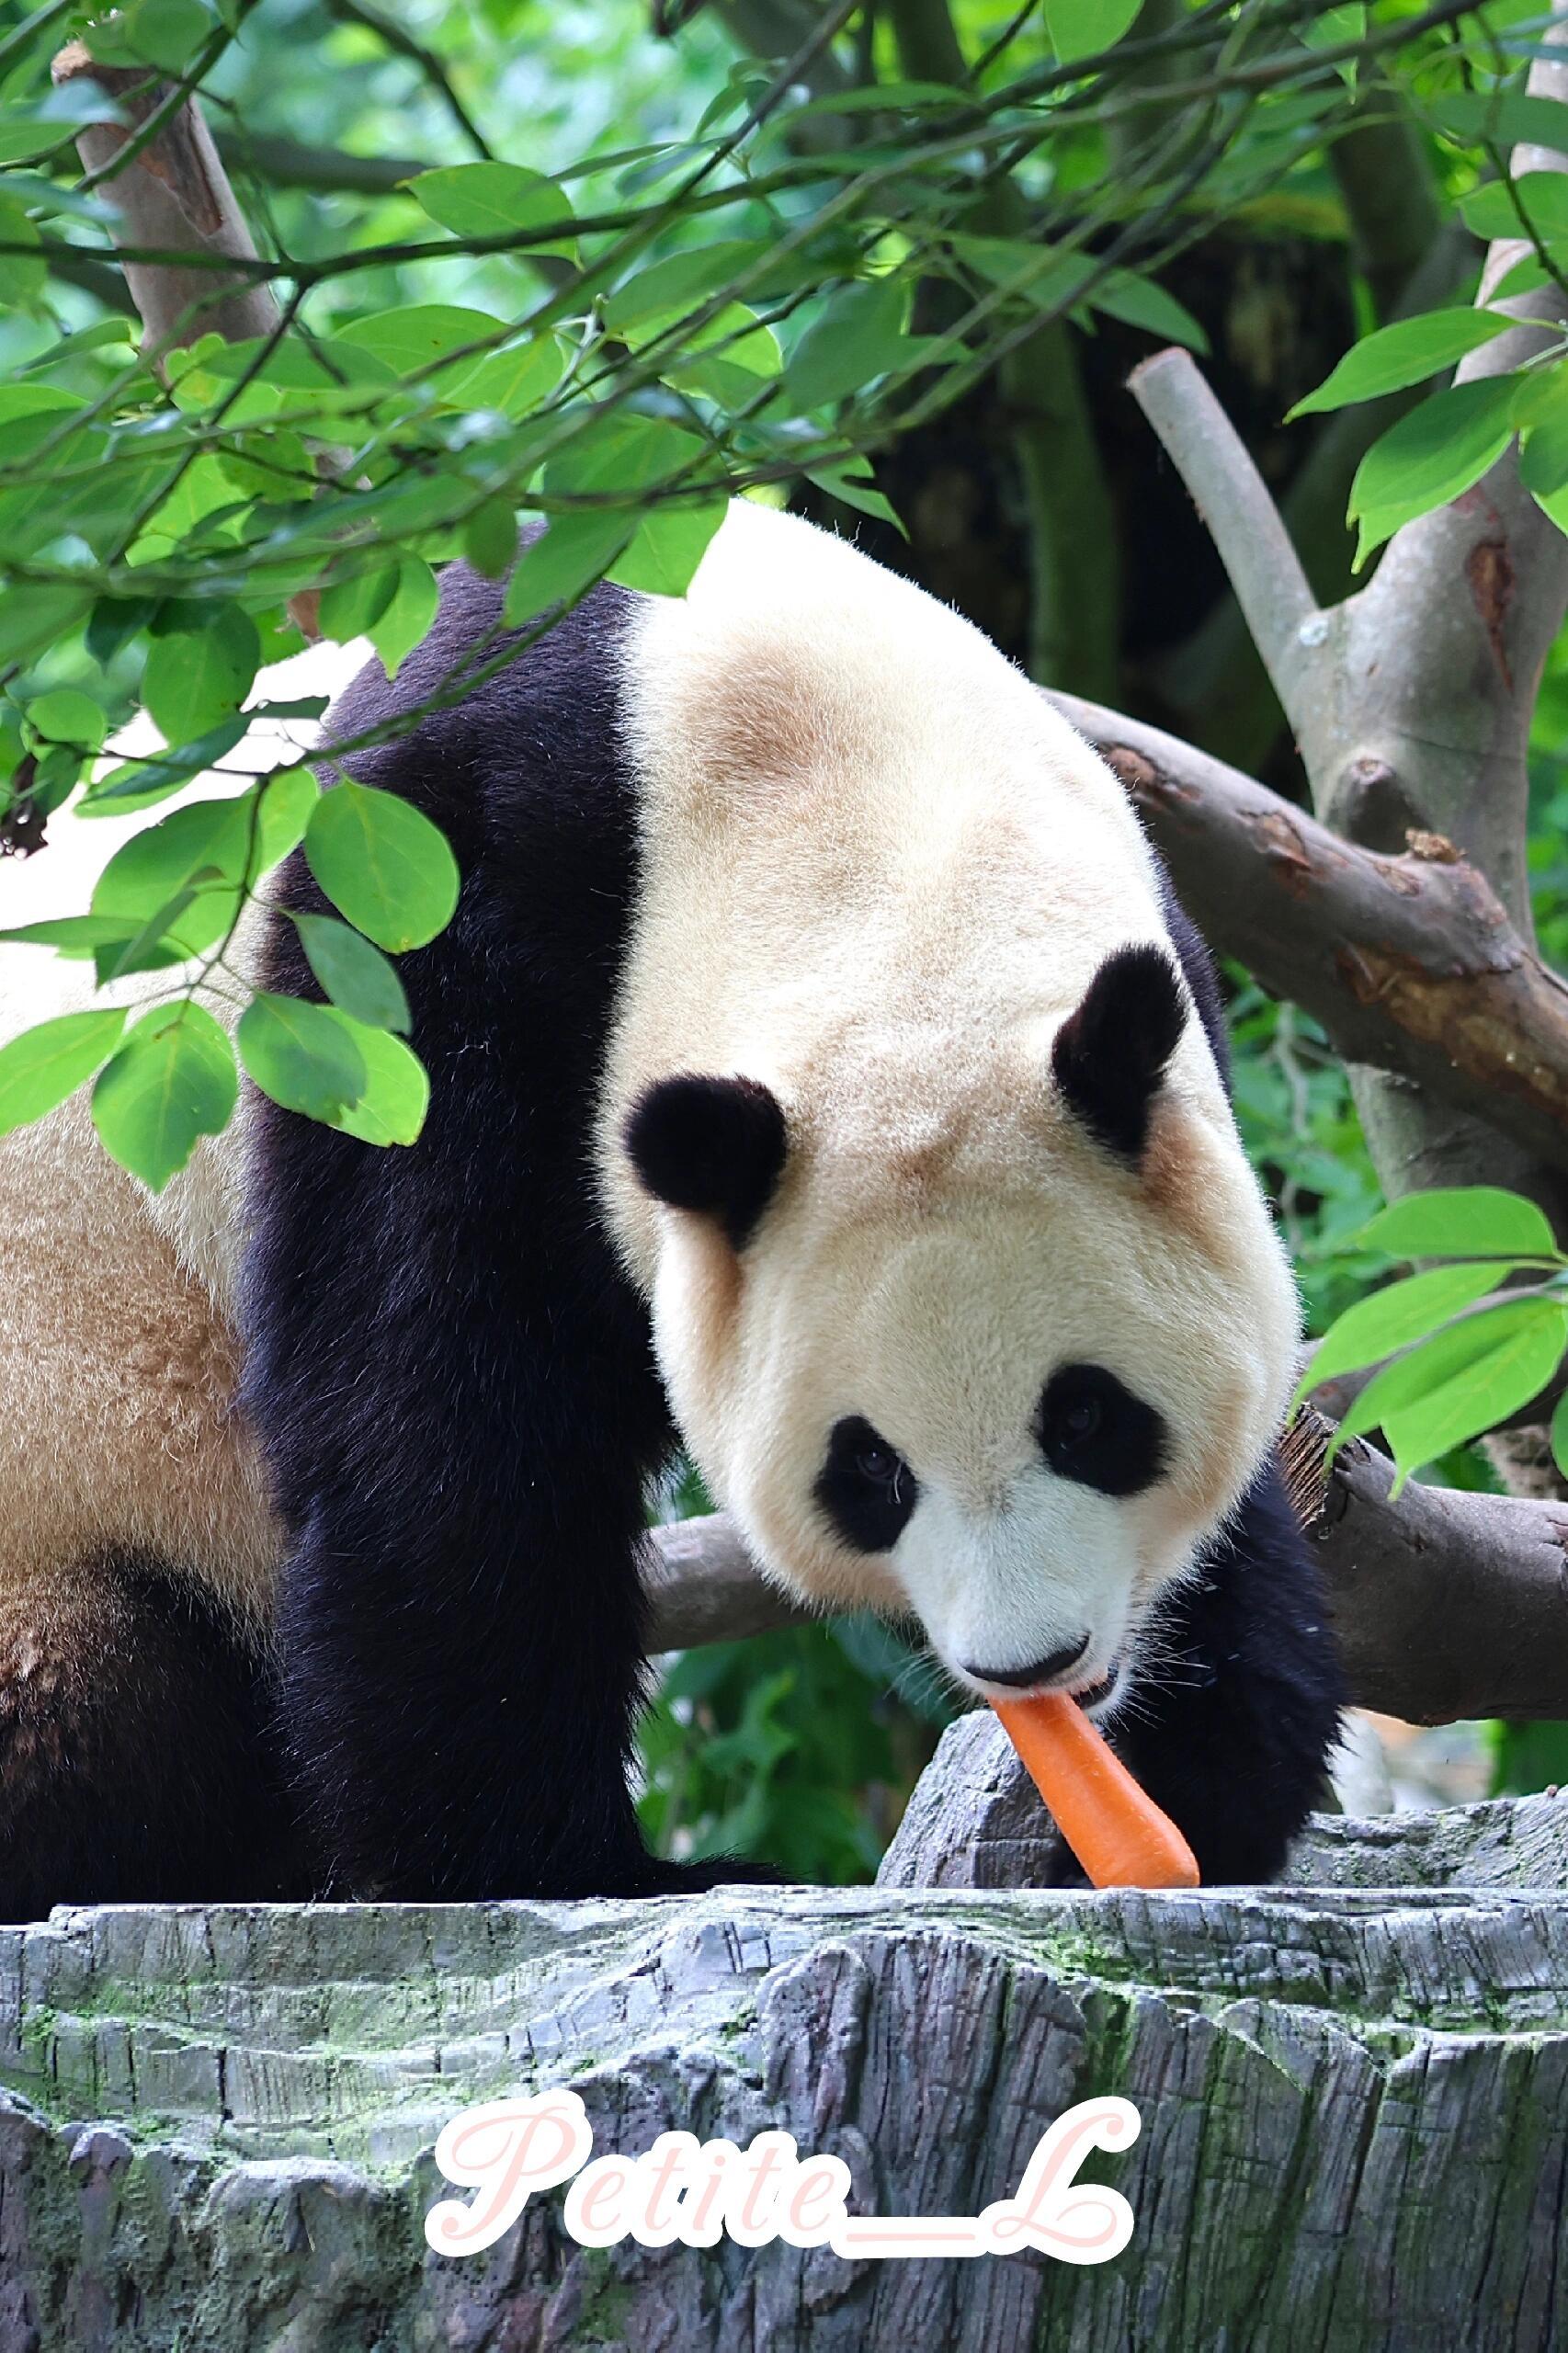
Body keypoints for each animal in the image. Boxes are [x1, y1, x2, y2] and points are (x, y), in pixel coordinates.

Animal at [3, 492, 1346, 1910]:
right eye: (866, 1469)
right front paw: (549, 1866)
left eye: (1087, 1416)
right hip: (79, 1462)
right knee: (115, 1696)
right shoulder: (430, 934)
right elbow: (437, 1392)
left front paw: (1196, 1787)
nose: (1032, 1665)